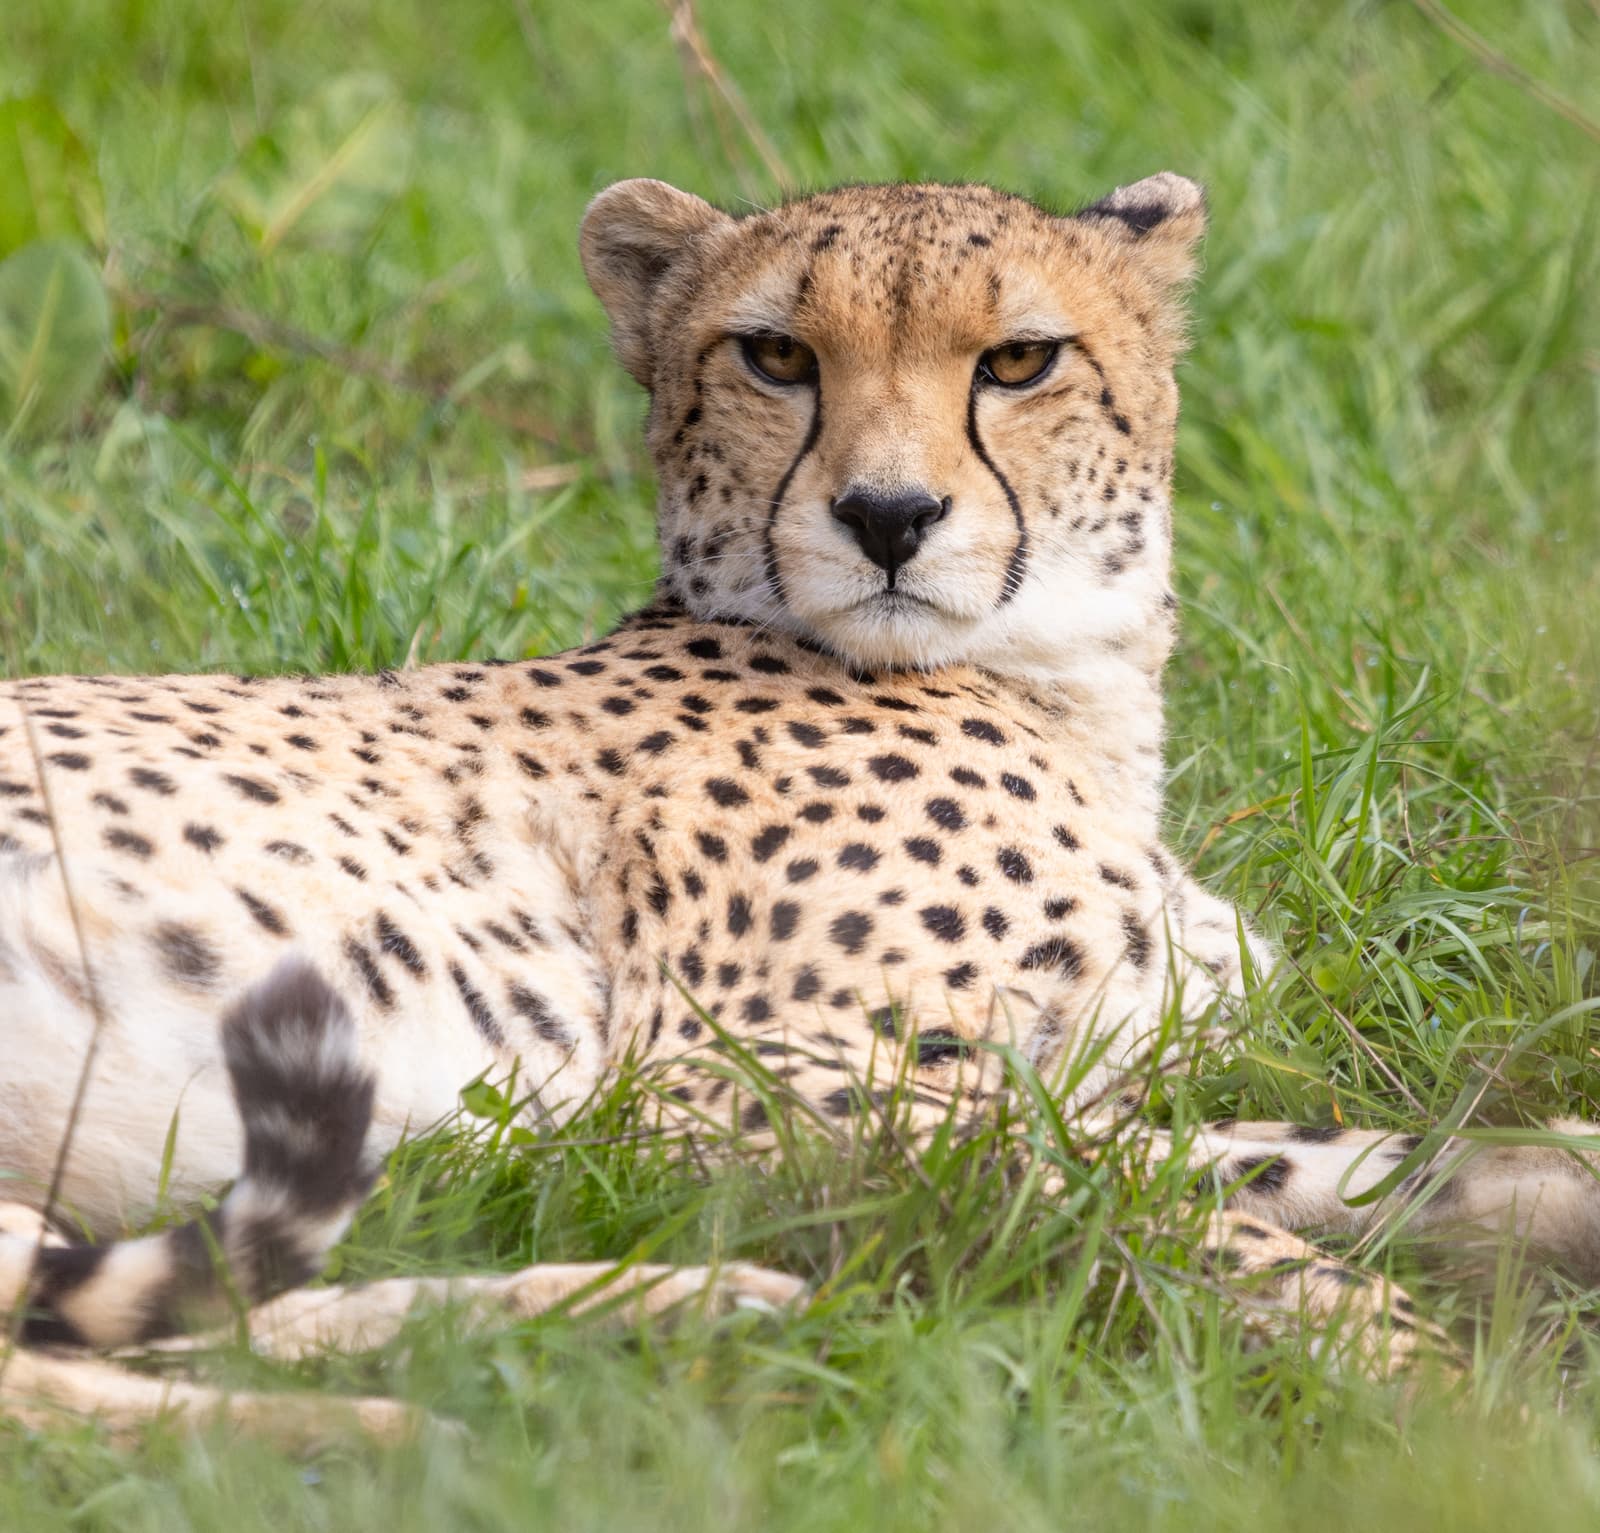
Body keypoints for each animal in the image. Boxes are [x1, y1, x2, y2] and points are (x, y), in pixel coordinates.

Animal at [4, 172, 1598, 1441]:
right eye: (777, 355)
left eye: (1018, 360)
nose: (888, 517)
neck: (1058, 693)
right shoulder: (714, 1089)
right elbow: (1188, 1210)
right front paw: (1435, 1380)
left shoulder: (1056, 1071)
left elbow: (1321, 1156)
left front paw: (1530, 1200)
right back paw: (397, 1435)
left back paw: (661, 1314)